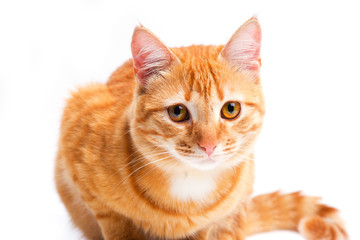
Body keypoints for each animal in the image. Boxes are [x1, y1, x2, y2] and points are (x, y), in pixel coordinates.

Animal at [54, 17, 348, 240]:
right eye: (177, 112)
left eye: (231, 109)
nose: (209, 145)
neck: (188, 186)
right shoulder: (91, 187)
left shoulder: (225, 217)